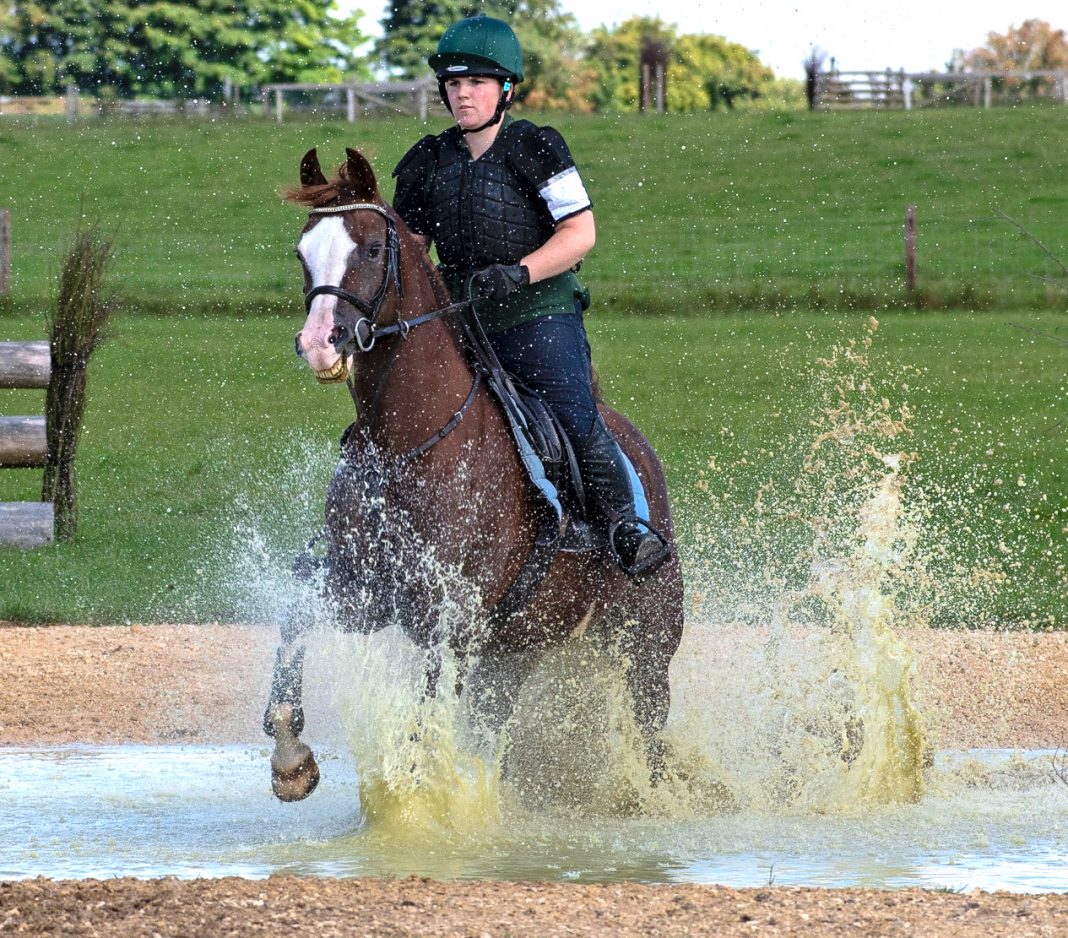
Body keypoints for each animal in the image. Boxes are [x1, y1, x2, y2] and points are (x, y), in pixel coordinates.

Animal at [263, 148, 687, 807]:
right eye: (302, 251)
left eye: (371, 249)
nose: (318, 344)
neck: (412, 446)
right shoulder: (361, 593)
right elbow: (296, 621)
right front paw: (291, 760)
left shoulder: (453, 616)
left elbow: (424, 727)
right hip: (515, 653)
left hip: (646, 645)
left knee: (649, 734)